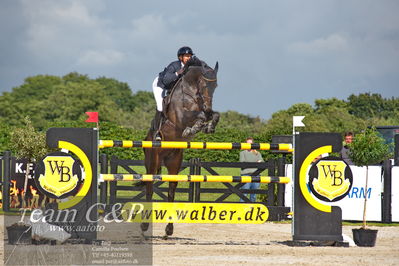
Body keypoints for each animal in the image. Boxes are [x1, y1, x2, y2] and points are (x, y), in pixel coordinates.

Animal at [142, 57, 220, 237]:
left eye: (216, 86)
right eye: (204, 84)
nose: (208, 107)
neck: (191, 91)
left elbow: (215, 115)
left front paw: (208, 126)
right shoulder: (181, 116)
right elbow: (198, 116)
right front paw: (194, 127)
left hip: (174, 162)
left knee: (171, 192)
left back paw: (169, 230)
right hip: (152, 162)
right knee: (149, 189)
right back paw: (144, 226)